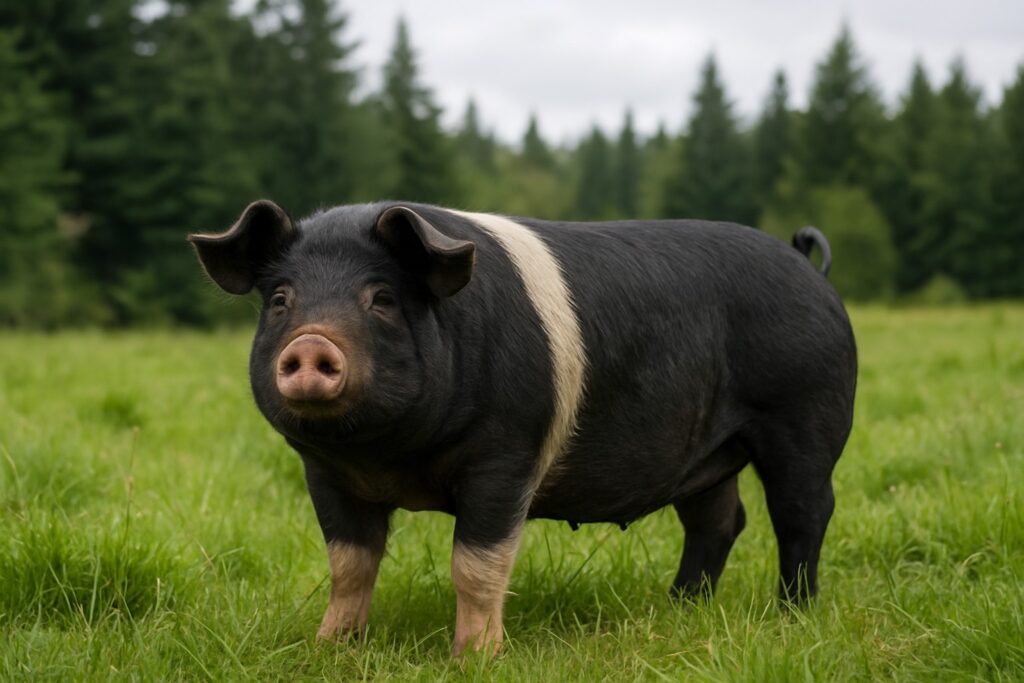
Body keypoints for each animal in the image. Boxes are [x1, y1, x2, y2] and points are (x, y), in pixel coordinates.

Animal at [189, 200, 856, 656]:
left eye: (381, 298)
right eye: (281, 300)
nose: (311, 345)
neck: (390, 457)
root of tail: (811, 269)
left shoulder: (507, 454)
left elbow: (476, 563)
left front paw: (473, 658)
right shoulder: (324, 472)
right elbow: (349, 563)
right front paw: (330, 647)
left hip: (807, 416)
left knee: (802, 513)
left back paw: (792, 617)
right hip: (705, 454)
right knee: (720, 521)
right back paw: (679, 609)